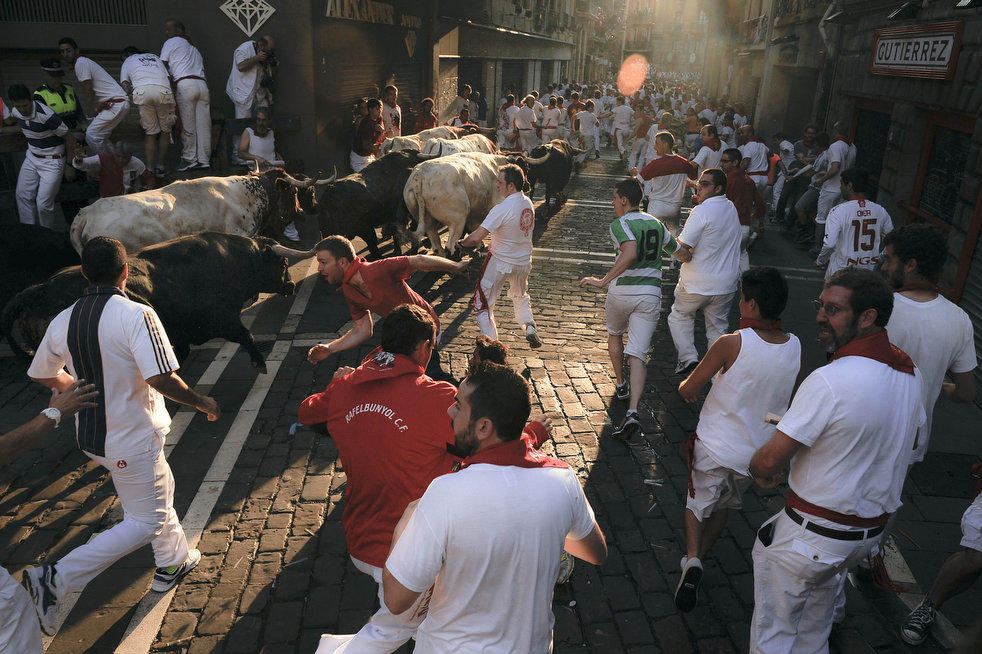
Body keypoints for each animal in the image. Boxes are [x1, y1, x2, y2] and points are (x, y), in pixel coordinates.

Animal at [1, 232, 312, 374]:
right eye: (283, 263)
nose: (290, 285)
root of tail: (42, 289)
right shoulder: (222, 319)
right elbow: (247, 335)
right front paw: (260, 363)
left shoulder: (181, 335)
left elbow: (180, 352)